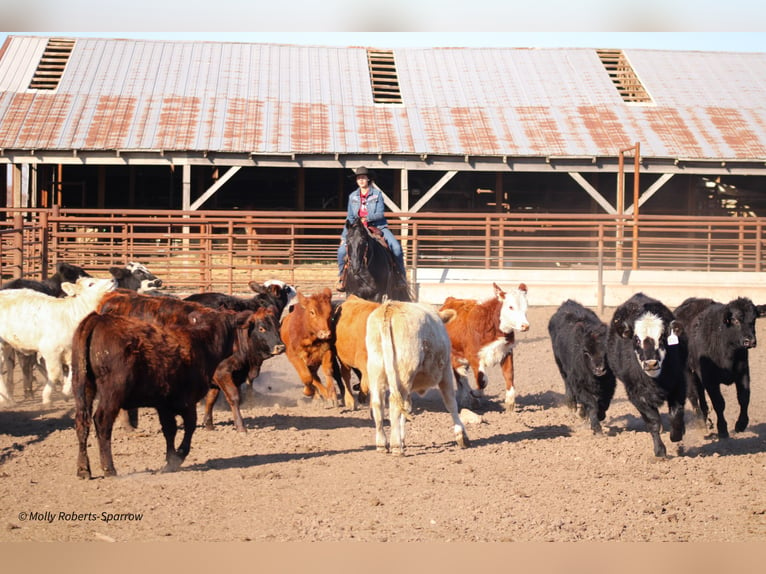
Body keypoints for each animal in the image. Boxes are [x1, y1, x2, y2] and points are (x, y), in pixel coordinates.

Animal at [364, 302, 468, 460]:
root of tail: (390, 308)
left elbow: (406, 408)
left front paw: (403, 438)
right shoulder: (445, 372)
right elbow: (451, 403)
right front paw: (461, 434)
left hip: (377, 372)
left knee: (378, 404)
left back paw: (382, 444)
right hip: (404, 373)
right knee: (394, 403)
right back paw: (396, 446)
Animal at [440, 282, 532, 410]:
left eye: (526, 306)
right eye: (510, 307)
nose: (525, 326)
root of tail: (451, 299)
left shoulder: (507, 352)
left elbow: (509, 375)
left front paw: (510, 402)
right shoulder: (474, 356)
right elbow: (482, 380)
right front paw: (475, 393)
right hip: (454, 355)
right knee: (460, 375)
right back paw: (468, 398)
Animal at [552, 304, 616, 434]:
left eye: (606, 349)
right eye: (586, 351)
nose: (599, 369)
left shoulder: (610, 385)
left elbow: (603, 403)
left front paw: (600, 416)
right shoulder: (579, 385)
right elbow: (592, 404)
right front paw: (596, 428)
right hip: (561, 366)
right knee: (567, 384)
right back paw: (572, 405)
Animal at [608, 294, 688, 456]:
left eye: (662, 338)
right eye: (637, 339)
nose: (651, 364)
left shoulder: (679, 383)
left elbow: (676, 413)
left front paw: (676, 435)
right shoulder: (636, 394)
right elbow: (653, 421)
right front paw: (660, 451)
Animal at [676, 300, 764, 438]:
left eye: (754, 319)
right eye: (735, 320)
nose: (749, 341)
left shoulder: (743, 373)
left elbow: (744, 398)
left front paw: (741, 424)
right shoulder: (710, 380)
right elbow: (719, 403)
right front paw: (722, 429)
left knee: (700, 395)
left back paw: (707, 420)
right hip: (687, 372)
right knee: (693, 396)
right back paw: (702, 423)